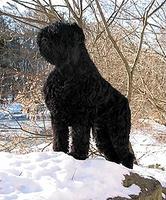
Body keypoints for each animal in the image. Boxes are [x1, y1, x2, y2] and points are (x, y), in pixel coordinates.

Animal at [37, 22, 134, 169]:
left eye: (60, 33)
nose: (43, 37)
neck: (66, 73)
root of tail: (125, 101)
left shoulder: (81, 116)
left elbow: (79, 137)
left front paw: (77, 155)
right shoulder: (57, 115)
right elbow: (59, 137)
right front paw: (59, 152)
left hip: (118, 131)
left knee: (126, 154)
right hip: (101, 134)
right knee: (113, 154)